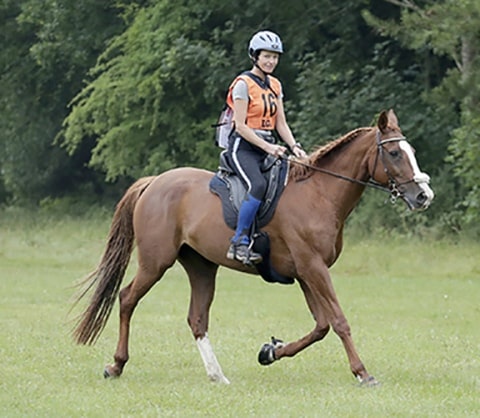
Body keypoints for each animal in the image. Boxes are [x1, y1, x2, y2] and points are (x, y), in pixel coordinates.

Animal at [72, 110, 436, 386]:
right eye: (394, 153)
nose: (423, 196)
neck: (319, 194)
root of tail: (154, 182)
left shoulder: (307, 272)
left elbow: (321, 326)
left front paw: (270, 352)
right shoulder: (313, 268)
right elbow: (338, 320)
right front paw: (362, 373)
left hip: (201, 265)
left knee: (197, 318)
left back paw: (217, 375)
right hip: (155, 262)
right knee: (127, 299)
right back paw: (116, 365)